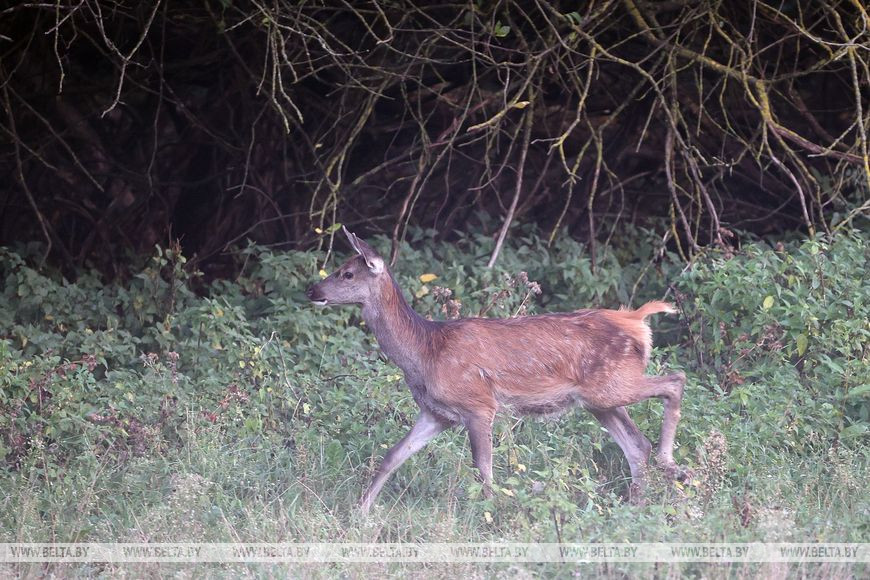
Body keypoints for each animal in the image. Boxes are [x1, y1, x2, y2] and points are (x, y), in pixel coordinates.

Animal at [308, 229, 688, 516]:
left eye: (347, 273)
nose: (312, 290)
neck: (425, 352)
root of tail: (636, 319)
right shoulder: (436, 413)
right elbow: (392, 456)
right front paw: (360, 511)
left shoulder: (479, 404)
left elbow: (483, 468)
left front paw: (491, 515)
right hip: (599, 398)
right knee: (637, 444)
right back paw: (636, 505)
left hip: (610, 384)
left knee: (675, 380)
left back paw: (669, 463)